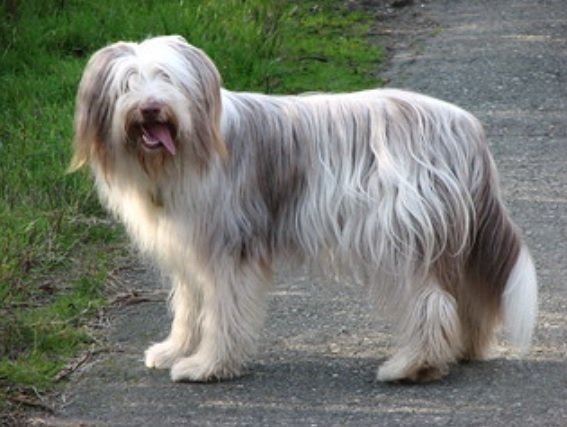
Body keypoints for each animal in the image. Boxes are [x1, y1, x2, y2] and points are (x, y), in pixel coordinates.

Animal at [70, 36, 536, 384]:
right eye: (128, 83)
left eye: (168, 79)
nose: (151, 107)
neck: (182, 155)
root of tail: (465, 126)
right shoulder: (189, 248)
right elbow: (189, 307)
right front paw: (175, 350)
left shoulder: (229, 248)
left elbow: (222, 311)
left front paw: (208, 365)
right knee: (465, 293)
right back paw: (462, 349)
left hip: (401, 235)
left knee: (430, 301)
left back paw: (413, 365)